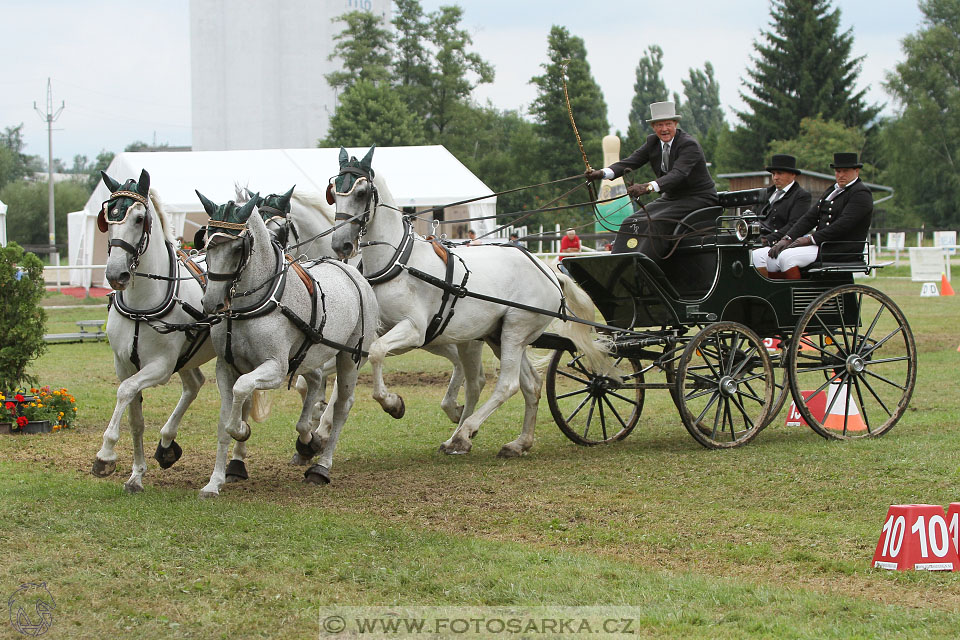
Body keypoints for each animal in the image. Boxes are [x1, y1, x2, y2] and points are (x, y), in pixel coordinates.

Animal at [90, 169, 253, 490]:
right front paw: (136, 475)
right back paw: (166, 444)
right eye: (108, 218)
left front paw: (105, 454)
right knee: (194, 384)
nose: (116, 274)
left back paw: (237, 459)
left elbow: (124, 392)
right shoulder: (124, 365)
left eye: (139, 218)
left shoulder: (160, 366)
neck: (142, 304)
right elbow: (135, 419)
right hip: (187, 356)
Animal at [197, 194, 376, 496]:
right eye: (207, 242)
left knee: (342, 406)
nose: (212, 303)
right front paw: (215, 481)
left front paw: (241, 429)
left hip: (350, 357)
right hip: (310, 353)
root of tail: (350, 270)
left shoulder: (276, 369)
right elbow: (223, 421)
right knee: (313, 382)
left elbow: (241, 390)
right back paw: (307, 439)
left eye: (237, 248)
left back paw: (321, 467)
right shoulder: (226, 366)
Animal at [330, 146, 608, 456]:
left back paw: (463, 433)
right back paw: (518, 442)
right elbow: (353, 366)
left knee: (508, 384)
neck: (398, 261)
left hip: (515, 330)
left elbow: (378, 352)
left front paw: (393, 404)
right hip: (499, 336)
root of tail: (549, 271)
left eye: (361, 192)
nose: (340, 244)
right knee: (531, 385)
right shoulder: (376, 328)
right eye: (334, 193)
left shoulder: (414, 330)